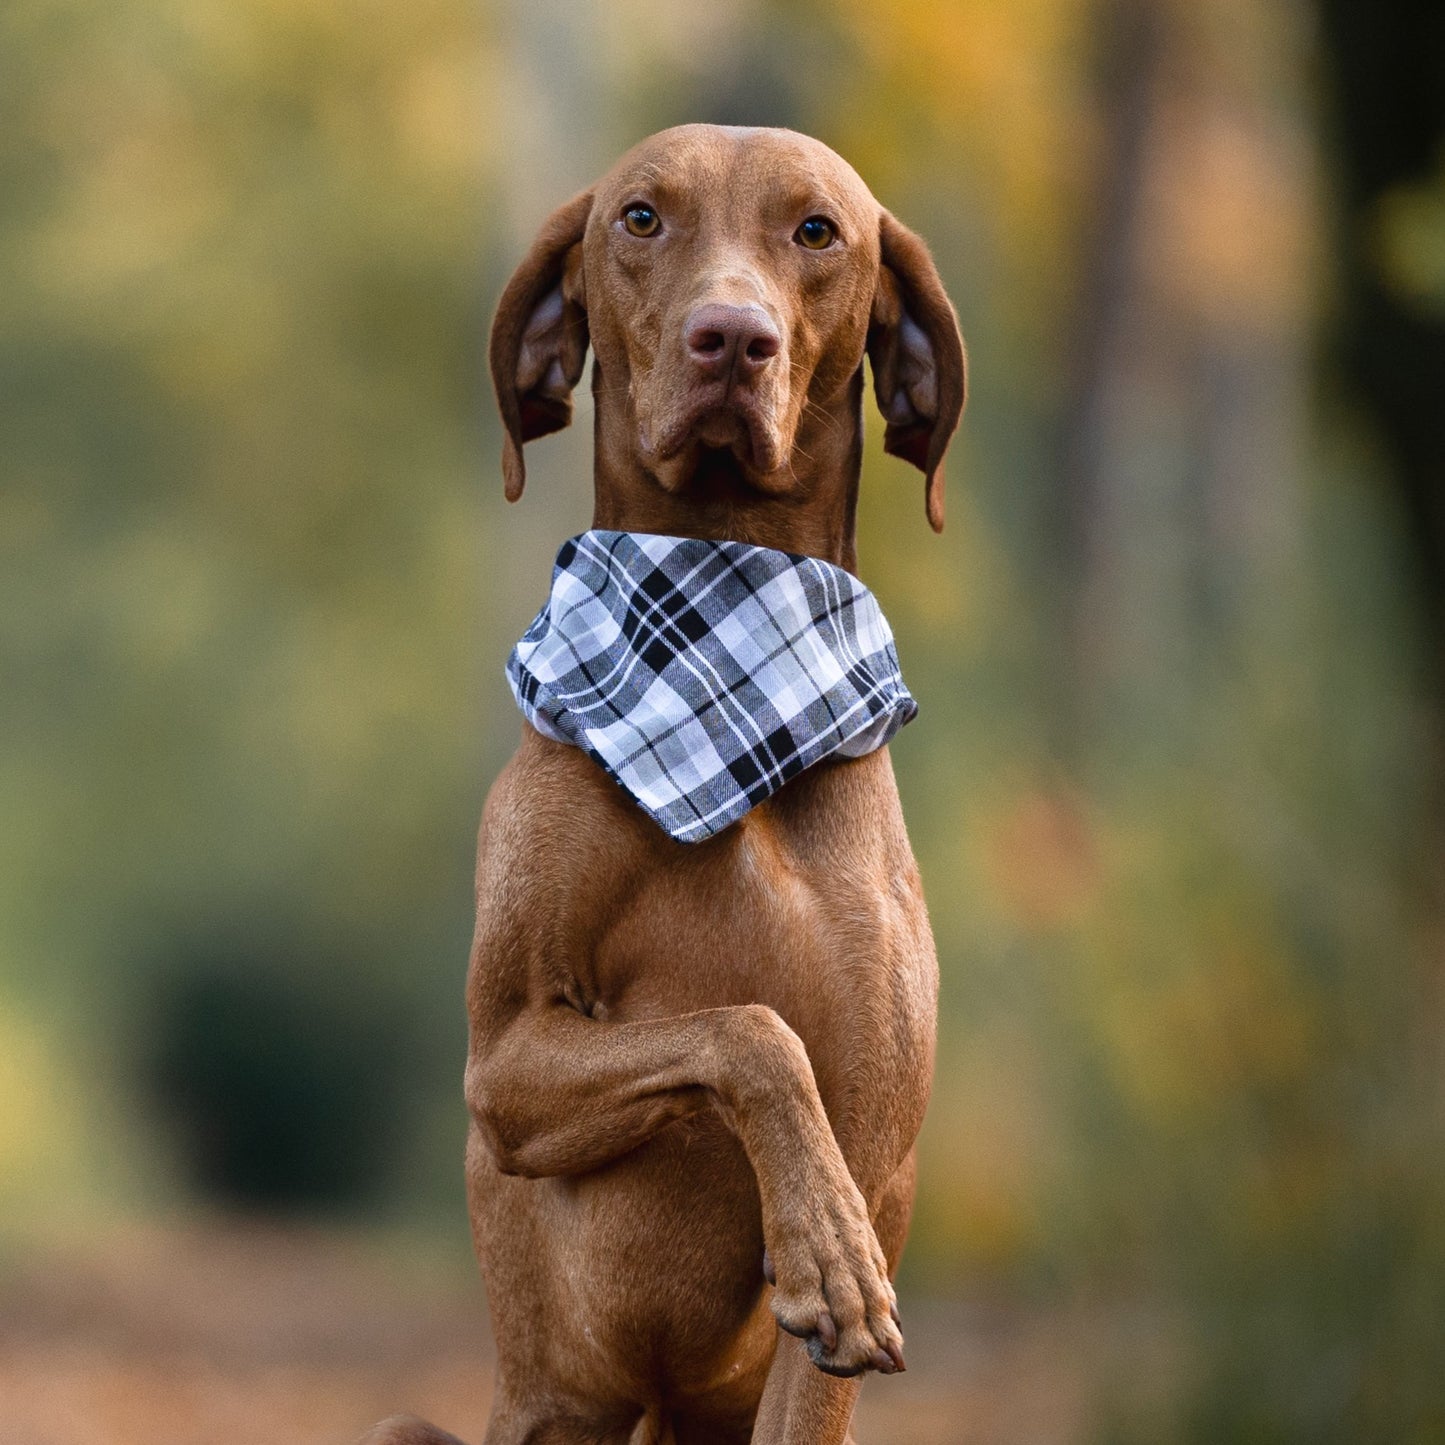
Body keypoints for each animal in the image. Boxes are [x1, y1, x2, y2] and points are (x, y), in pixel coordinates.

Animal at [364, 127, 971, 1445]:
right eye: (640, 217)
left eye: (816, 230)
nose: (729, 338)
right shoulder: (507, 1062)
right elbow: (744, 1027)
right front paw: (821, 1240)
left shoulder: (876, 1151)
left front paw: (828, 1249)